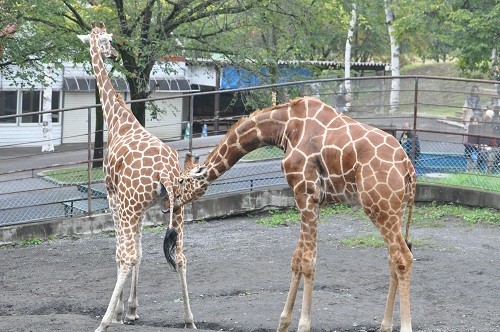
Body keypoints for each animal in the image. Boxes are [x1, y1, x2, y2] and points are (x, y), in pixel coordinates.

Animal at [77, 22, 195, 330]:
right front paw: (131, 310)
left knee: (127, 255)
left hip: (130, 205)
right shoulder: (141, 208)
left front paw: (120, 312)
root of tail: (166, 172)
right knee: (180, 256)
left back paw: (104, 321)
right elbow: (141, 253)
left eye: (106, 40)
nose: (115, 53)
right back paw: (189, 319)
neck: (118, 119)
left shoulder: (114, 197)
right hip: (178, 207)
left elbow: (122, 254)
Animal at [170, 96, 416, 332]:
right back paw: (384, 326)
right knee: (392, 259)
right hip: (395, 209)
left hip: (379, 206)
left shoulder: (305, 192)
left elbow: (308, 261)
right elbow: (297, 259)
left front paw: (303, 325)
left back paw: (405, 326)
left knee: (403, 257)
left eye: (181, 181)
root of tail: (408, 167)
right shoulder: (309, 198)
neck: (285, 127)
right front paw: (283, 323)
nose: (171, 203)